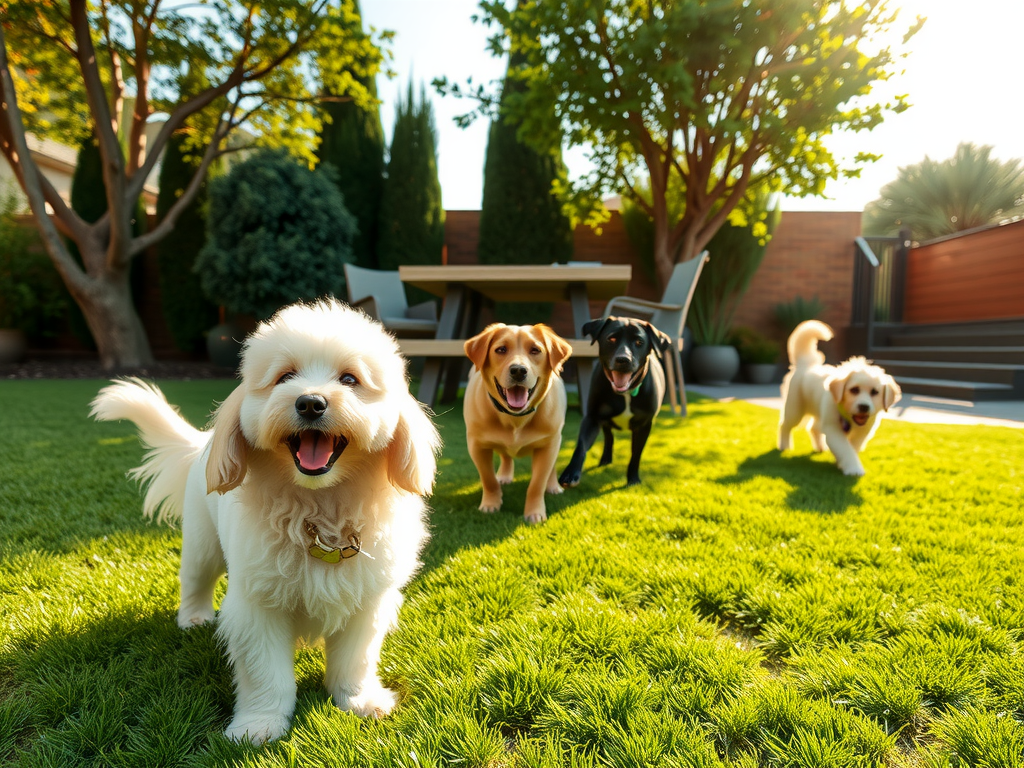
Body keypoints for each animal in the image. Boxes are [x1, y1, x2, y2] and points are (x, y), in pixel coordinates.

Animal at [90, 299, 438, 745]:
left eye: (350, 379)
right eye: (284, 377)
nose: (310, 402)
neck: (319, 508)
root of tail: (203, 444)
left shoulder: (367, 601)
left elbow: (353, 661)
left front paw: (358, 700)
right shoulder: (257, 606)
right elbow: (266, 674)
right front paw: (259, 723)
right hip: (203, 544)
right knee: (194, 580)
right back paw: (193, 617)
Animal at [462, 321, 573, 528]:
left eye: (535, 350)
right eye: (501, 349)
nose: (519, 370)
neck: (515, 418)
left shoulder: (549, 445)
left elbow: (537, 484)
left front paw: (534, 513)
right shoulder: (476, 445)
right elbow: (488, 479)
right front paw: (491, 504)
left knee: (552, 466)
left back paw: (553, 486)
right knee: (506, 456)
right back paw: (505, 476)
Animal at [561, 317, 671, 487]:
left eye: (639, 342)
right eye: (611, 339)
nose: (623, 360)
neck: (625, 393)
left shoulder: (644, 424)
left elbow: (636, 453)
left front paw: (633, 478)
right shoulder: (592, 417)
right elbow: (581, 446)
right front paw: (571, 472)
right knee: (608, 436)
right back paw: (605, 458)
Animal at [778, 319, 901, 475]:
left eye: (875, 392)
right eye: (854, 390)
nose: (864, 407)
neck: (849, 418)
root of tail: (806, 364)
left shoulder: (863, 432)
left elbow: (852, 447)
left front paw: (842, 463)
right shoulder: (833, 429)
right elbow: (845, 449)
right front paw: (854, 468)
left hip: (818, 412)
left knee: (814, 428)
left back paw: (819, 447)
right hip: (795, 408)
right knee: (785, 425)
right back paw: (784, 445)